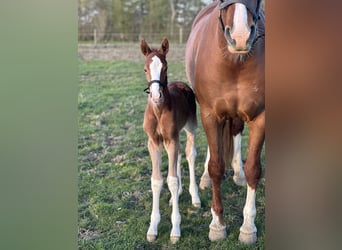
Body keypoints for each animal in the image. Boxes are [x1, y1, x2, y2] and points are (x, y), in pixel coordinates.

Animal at [141, 38, 202, 243]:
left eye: (165, 67)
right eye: (145, 69)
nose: (156, 96)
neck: (159, 111)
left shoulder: (171, 139)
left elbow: (172, 180)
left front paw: (175, 229)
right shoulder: (154, 142)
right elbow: (157, 181)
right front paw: (152, 228)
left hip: (190, 127)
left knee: (190, 154)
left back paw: (195, 197)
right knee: (179, 156)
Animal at [187, 0, 264, 245]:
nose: (240, 36)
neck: (234, 63)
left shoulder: (260, 117)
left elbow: (253, 169)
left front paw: (248, 227)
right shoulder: (211, 115)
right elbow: (216, 166)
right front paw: (217, 225)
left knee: (236, 131)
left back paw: (238, 173)